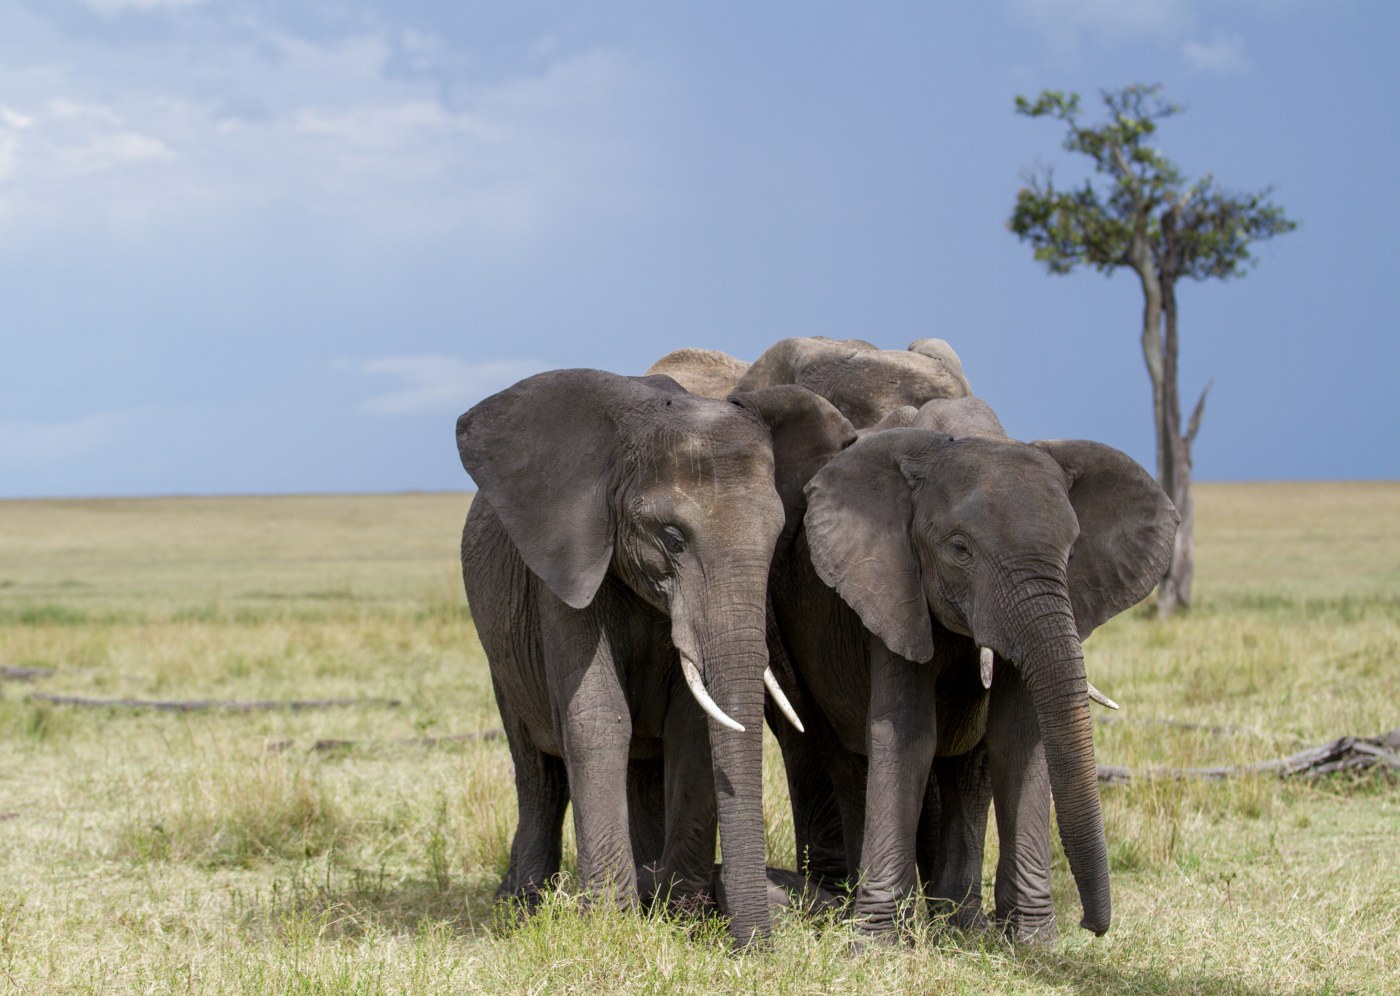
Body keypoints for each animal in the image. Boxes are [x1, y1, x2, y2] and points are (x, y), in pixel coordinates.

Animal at [459, 369, 828, 946]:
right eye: (672, 538)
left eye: (775, 538)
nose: (761, 951)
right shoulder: (567, 563)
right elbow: (598, 718)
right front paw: (610, 925)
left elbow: (691, 726)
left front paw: (685, 916)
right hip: (503, 657)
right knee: (538, 773)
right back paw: (519, 907)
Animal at [761, 392, 1176, 941]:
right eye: (960, 550)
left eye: (1070, 552)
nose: (1093, 926)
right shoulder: (891, 586)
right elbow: (906, 735)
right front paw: (876, 942)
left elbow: (1019, 735)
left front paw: (1033, 941)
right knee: (844, 754)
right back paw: (861, 905)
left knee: (970, 767)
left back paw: (962, 924)